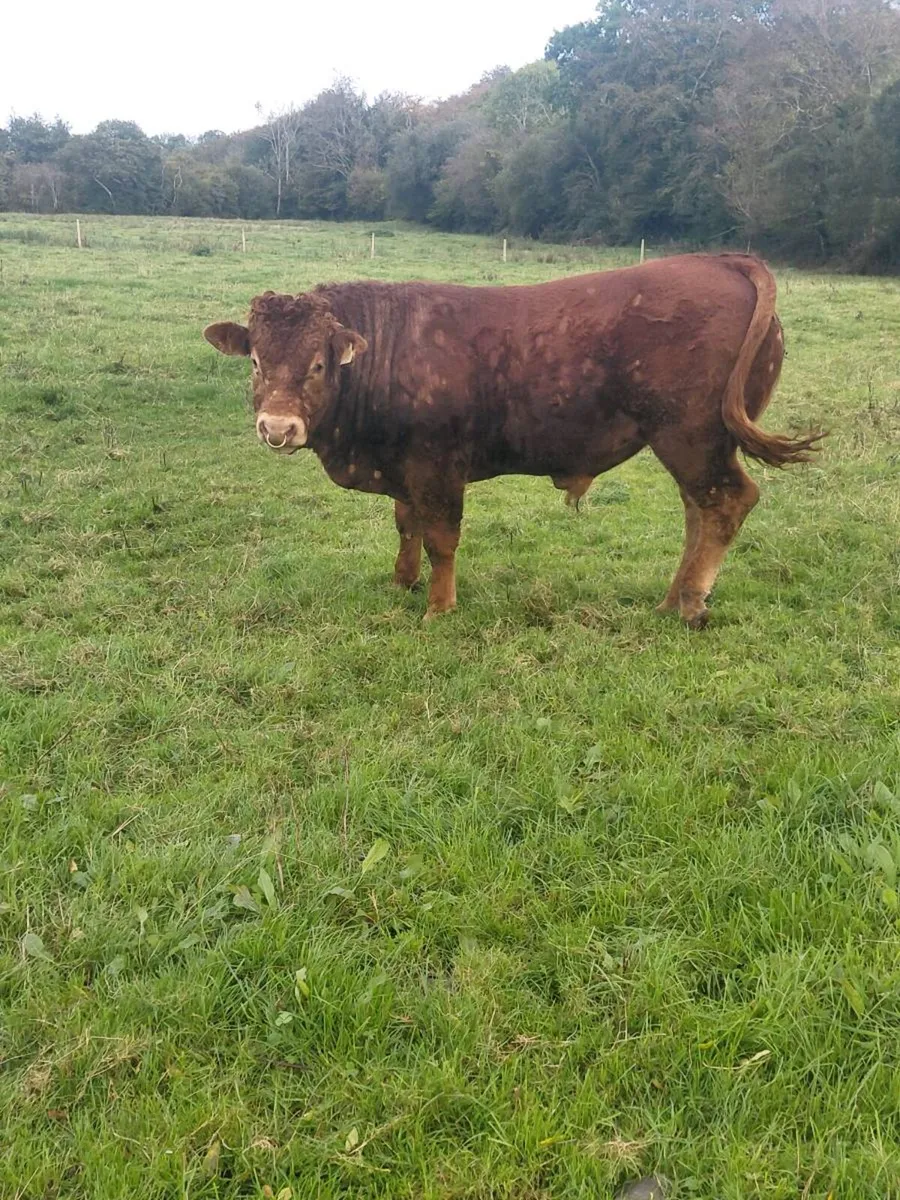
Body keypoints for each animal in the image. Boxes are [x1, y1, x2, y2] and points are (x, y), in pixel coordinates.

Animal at [203, 254, 820, 628]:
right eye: (255, 361)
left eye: (316, 364)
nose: (277, 428)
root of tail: (718, 260)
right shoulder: (403, 468)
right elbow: (406, 526)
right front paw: (402, 583)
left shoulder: (437, 467)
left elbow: (440, 539)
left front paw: (439, 607)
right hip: (694, 445)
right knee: (699, 510)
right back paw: (674, 597)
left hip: (691, 437)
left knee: (725, 503)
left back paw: (689, 604)